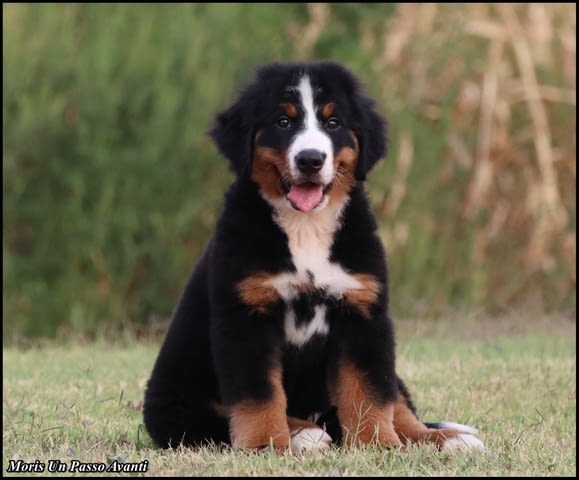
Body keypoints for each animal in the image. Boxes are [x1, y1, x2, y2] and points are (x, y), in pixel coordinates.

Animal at [142, 60, 484, 454]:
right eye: (283, 122)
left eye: (332, 123)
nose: (310, 159)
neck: (306, 227)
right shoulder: (246, 317)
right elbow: (258, 395)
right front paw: (265, 445)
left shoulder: (362, 314)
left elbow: (369, 393)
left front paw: (378, 444)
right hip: (179, 405)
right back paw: (303, 432)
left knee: (399, 404)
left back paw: (446, 438)